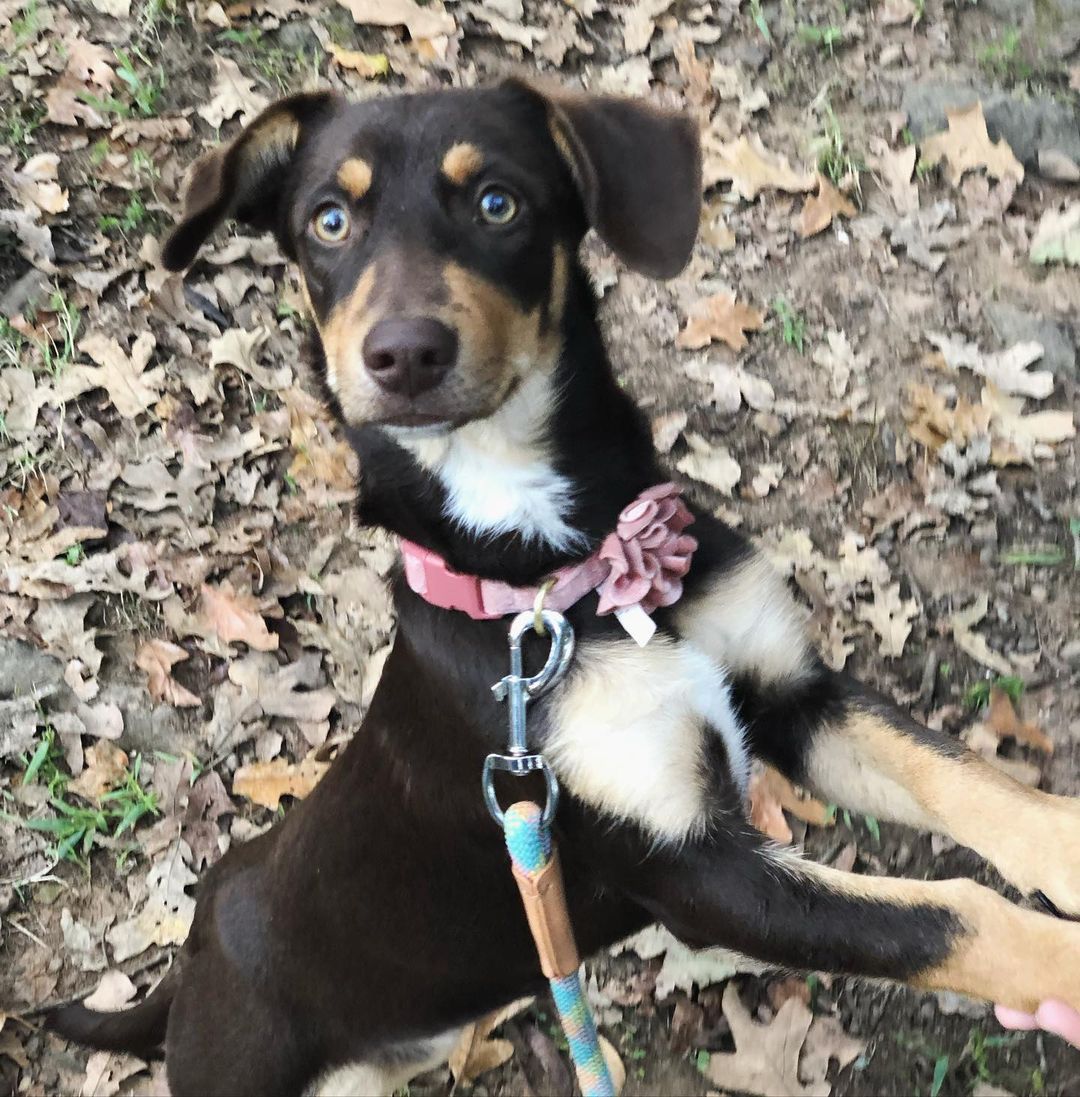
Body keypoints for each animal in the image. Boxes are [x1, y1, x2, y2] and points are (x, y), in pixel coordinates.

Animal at [46, 81, 1078, 1092]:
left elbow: (965, 777)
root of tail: (190, 960)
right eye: (329, 221)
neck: (561, 574)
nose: (404, 353)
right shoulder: (695, 871)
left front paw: (1064, 844)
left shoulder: (792, 694)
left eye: (498, 202)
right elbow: (961, 917)